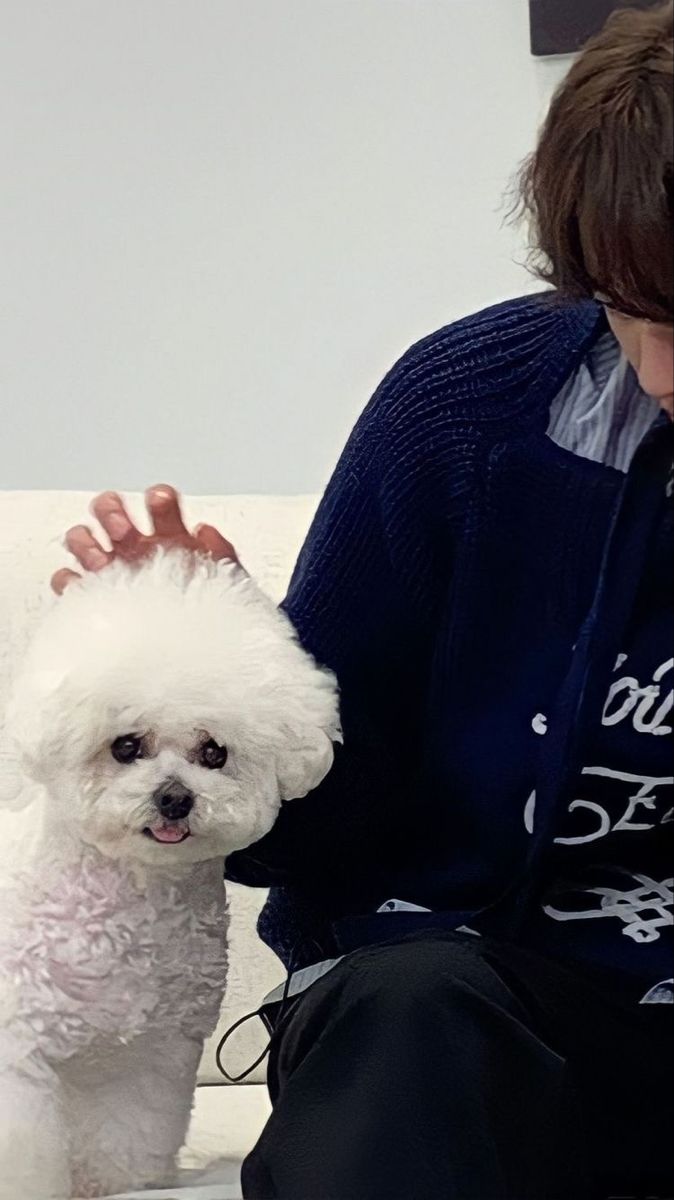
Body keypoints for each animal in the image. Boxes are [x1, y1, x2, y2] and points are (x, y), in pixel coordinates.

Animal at [0, 549, 338, 1195]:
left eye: (214, 752)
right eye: (126, 746)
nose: (175, 799)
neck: (132, 901)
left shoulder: (148, 1058)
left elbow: (128, 1137)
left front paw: (116, 1187)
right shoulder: (19, 1050)